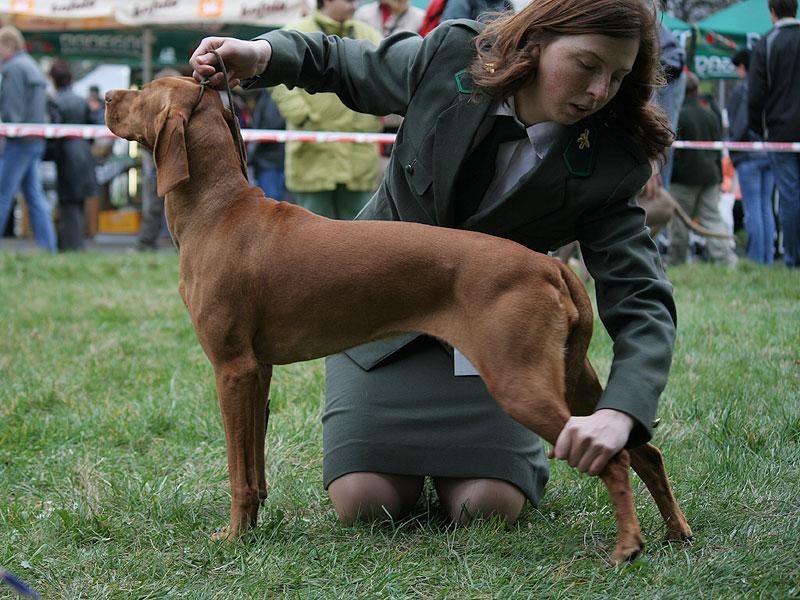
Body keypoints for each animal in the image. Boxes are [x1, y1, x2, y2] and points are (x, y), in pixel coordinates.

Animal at [106, 76, 692, 564]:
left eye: (145, 90)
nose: (108, 96)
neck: (220, 210)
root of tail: (548, 264)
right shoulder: (258, 370)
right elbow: (255, 466)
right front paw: (251, 530)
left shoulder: (231, 368)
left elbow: (237, 472)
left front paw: (232, 538)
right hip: (574, 378)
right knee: (643, 449)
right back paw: (675, 532)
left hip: (520, 381)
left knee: (611, 460)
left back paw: (627, 546)